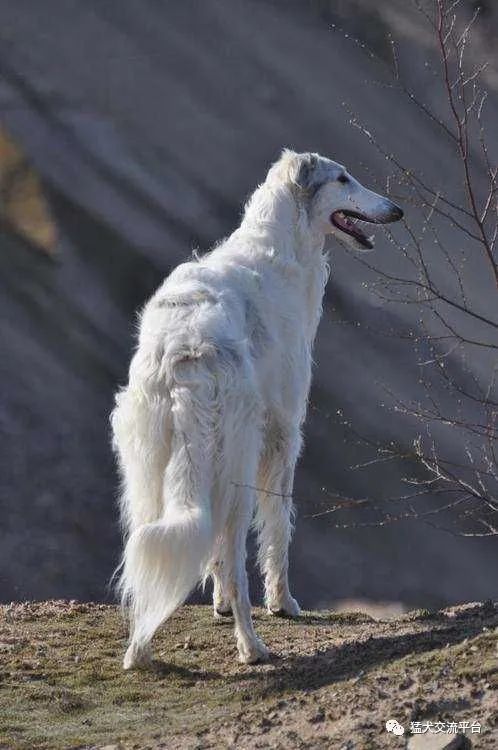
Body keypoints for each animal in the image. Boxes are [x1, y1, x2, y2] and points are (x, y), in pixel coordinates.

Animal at [111, 148, 402, 668]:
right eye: (343, 178)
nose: (397, 210)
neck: (277, 248)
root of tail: (185, 350)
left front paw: (219, 605)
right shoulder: (284, 430)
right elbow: (278, 526)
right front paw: (282, 602)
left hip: (148, 467)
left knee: (149, 553)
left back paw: (139, 650)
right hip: (237, 456)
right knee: (232, 548)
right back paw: (251, 644)